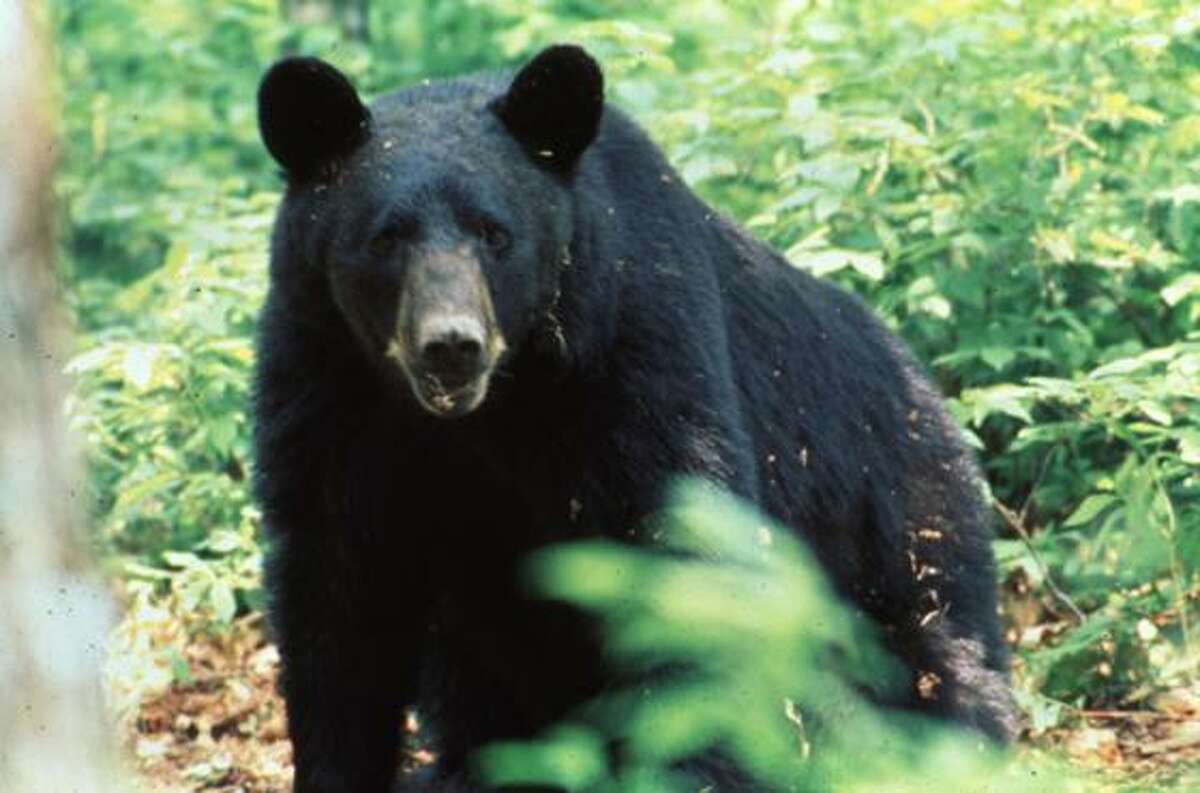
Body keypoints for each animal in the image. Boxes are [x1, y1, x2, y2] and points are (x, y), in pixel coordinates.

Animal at [250, 44, 1012, 791]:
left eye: (496, 233)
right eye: (386, 237)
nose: (451, 345)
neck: (488, 412)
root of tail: (932, 396)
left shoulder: (637, 353)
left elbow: (684, 556)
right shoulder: (326, 390)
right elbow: (337, 599)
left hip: (894, 532)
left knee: (932, 668)